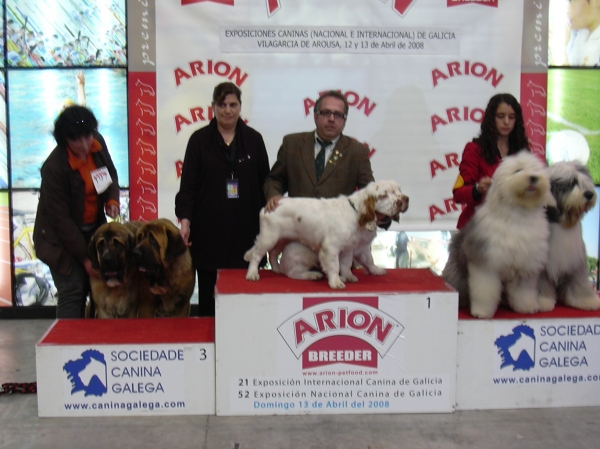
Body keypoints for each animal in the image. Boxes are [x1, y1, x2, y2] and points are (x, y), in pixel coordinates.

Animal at [244, 180, 408, 288]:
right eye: (384, 195)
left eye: (399, 190)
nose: (405, 200)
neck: (355, 212)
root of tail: (267, 207)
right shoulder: (331, 247)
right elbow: (335, 265)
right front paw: (336, 282)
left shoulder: (348, 247)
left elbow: (350, 263)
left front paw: (350, 276)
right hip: (269, 237)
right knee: (258, 256)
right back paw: (253, 274)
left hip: (282, 239)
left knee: (272, 254)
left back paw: (277, 269)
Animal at [440, 151, 552, 318]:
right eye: (518, 170)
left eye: (536, 169)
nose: (533, 177)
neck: (518, 214)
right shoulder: (486, 262)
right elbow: (485, 291)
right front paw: (481, 312)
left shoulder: (525, 264)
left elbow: (524, 290)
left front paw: (526, 307)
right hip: (457, 271)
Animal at [540, 161, 600, 312]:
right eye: (572, 183)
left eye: (586, 182)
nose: (589, 194)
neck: (562, 223)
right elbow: (540, 283)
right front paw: (541, 301)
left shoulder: (576, 260)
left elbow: (579, 282)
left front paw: (586, 300)